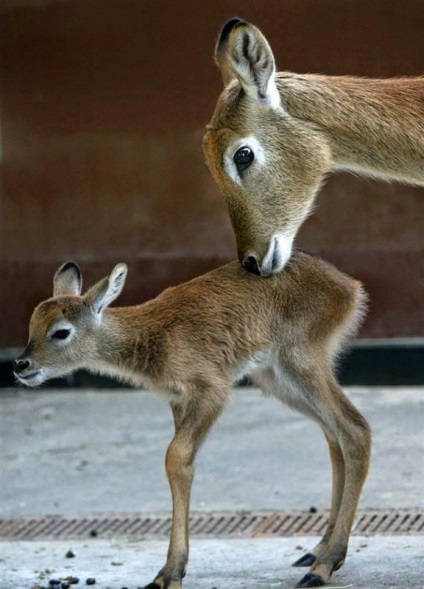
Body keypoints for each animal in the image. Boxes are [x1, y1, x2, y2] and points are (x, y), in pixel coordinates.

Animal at [14, 255, 372, 588]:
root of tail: (351, 287)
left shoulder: (212, 388)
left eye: (61, 331)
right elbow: (182, 463)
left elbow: (176, 458)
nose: (21, 365)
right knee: (333, 434)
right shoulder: (178, 399)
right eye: (32, 324)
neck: (154, 339)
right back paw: (317, 550)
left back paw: (324, 565)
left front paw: (170, 573)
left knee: (355, 428)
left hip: (301, 360)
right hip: (275, 376)